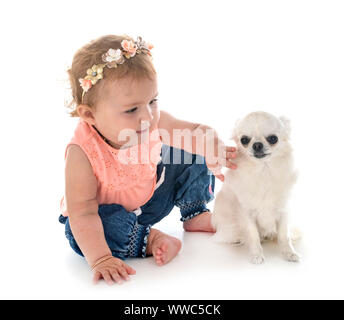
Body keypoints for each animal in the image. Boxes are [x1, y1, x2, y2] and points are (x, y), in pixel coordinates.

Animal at [211, 111, 300, 264]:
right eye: (244, 140)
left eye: (273, 138)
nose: (257, 145)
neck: (263, 171)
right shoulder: (247, 212)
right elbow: (253, 235)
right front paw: (256, 254)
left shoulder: (283, 210)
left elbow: (284, 235)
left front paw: (289, 252)